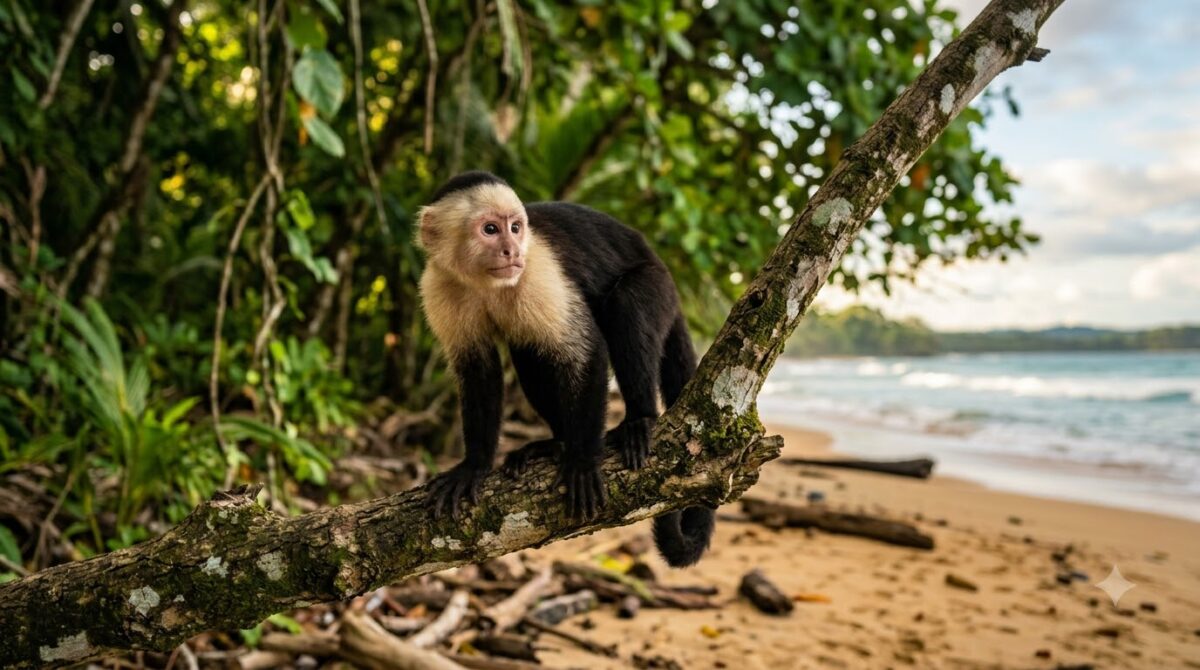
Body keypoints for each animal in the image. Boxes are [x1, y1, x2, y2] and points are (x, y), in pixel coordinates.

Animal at [415, 170, 714, 567]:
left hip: (656, 286)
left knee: (628, 304)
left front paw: (584, 462)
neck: (484, 281)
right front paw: (473, 467)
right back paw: (555, 443)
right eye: (490, 229)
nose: (512, 250)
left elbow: (585, 352)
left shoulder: (537, 272)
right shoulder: (440, 285)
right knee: (528, 351)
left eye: (515, 227)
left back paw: (639, 419)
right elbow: (478, 371)